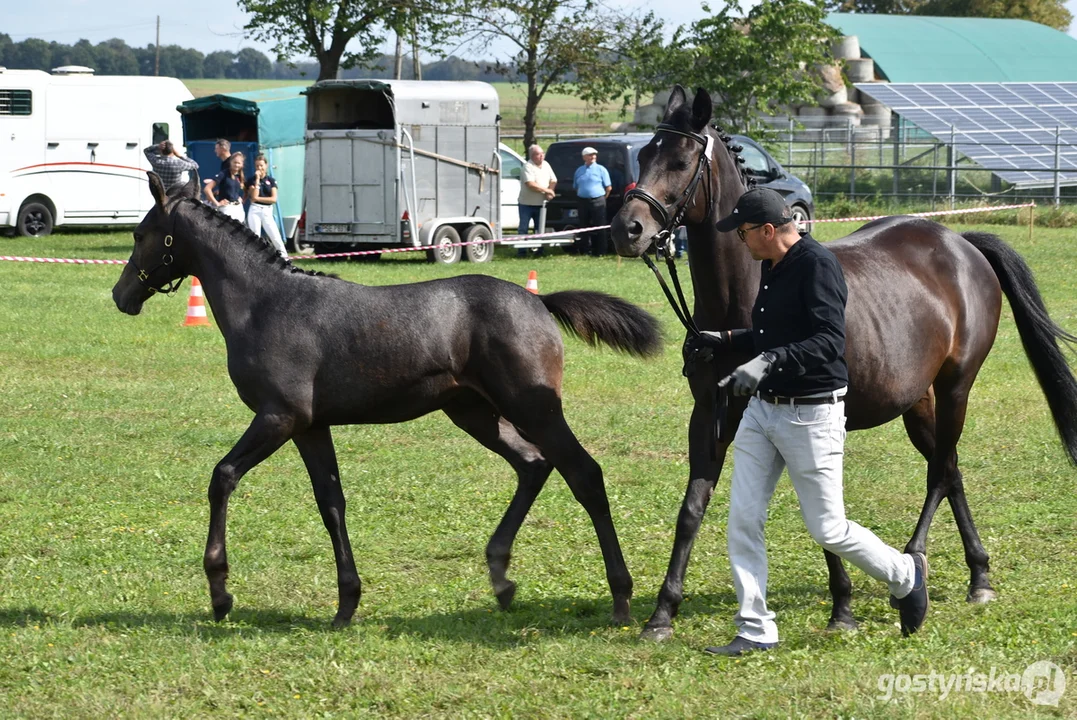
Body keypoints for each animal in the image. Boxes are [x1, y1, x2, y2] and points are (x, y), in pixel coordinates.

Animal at [113, 171, 659, 624]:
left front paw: (220, 592)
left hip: (534, 409)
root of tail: (538, 301)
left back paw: (620, 597)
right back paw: (502, 578)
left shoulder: (278, 417)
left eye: (141, 235)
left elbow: (222, 476)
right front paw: (346, 603)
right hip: (474, 413)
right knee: (533, 465)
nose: (121, 297)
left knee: (584, 474)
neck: (266, 304)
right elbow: (331, 502)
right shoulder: (310, 426)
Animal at [611, 84, 1077, 641]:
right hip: (919, 403)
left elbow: (823, 514)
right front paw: (662, 613)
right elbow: (691, 509)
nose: (627, 229)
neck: (751, 294)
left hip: (956, 389)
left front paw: (843, 607)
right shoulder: (709, 417)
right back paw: (978, 575)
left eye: (681, 161)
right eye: (643, 155)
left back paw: (917, 563)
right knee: (951, 469)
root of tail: (961, 243)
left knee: (940, 475)